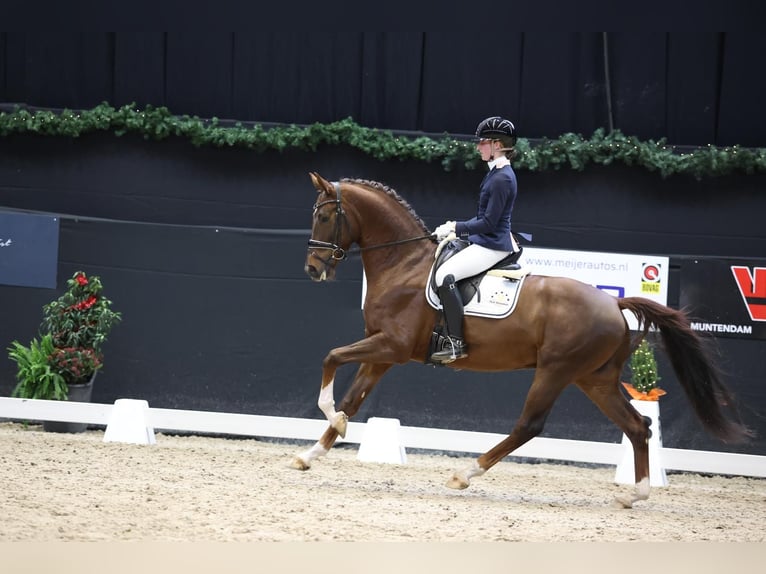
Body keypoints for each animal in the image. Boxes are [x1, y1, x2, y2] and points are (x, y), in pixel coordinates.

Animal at [292, 172, 751, 508]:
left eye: (324, 216)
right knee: (638, 426)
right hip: (595, 378)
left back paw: (465, 474)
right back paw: (634, 495)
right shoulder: (383, 351)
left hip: (556, 370)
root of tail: (613, 303)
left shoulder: (392, 346)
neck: (402, 264)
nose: (313, 269)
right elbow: (354, 398)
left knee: (530, 424)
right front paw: (313, 451)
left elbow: (331, 358)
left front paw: (331, 418)